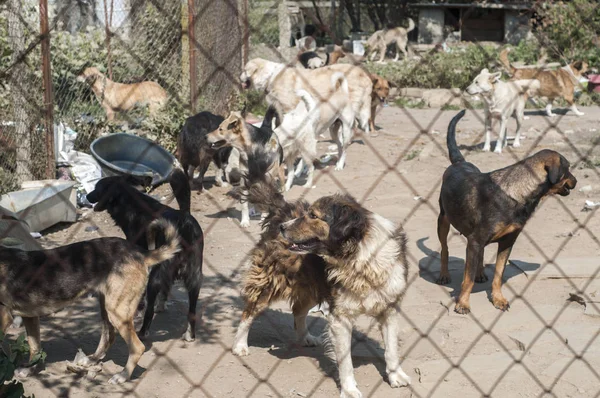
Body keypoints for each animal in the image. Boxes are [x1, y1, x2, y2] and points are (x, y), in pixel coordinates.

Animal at [0, 219, 180, 384]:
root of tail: (139, 253)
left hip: (117, 311)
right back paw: (92, 359)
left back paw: (123, 376)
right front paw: (30, 369)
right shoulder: (30, 317)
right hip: (106, 306)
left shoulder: (5, 318)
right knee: (109, 336)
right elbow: (35, 347)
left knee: (137, 347)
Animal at [86, 169, 204, 340]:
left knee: (150, 310)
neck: (129, 202)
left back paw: (142, 331)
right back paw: (189, 333)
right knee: (191, 308)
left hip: (156, 276)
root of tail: (184, 223)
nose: (87, 196)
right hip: (194, 276)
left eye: (96, 188)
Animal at [438, 109, 580, 314]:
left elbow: (498, 275)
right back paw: (443, 274)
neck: (517, 192)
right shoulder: (475, 240)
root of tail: (459, 162)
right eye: (567, 168)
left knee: (479, 257)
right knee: (444, 249)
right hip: (443, 220)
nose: (576, 181)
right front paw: (463, 303)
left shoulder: (507, 242)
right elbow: (468, 279)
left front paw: (498, 299)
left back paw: (480, 273)